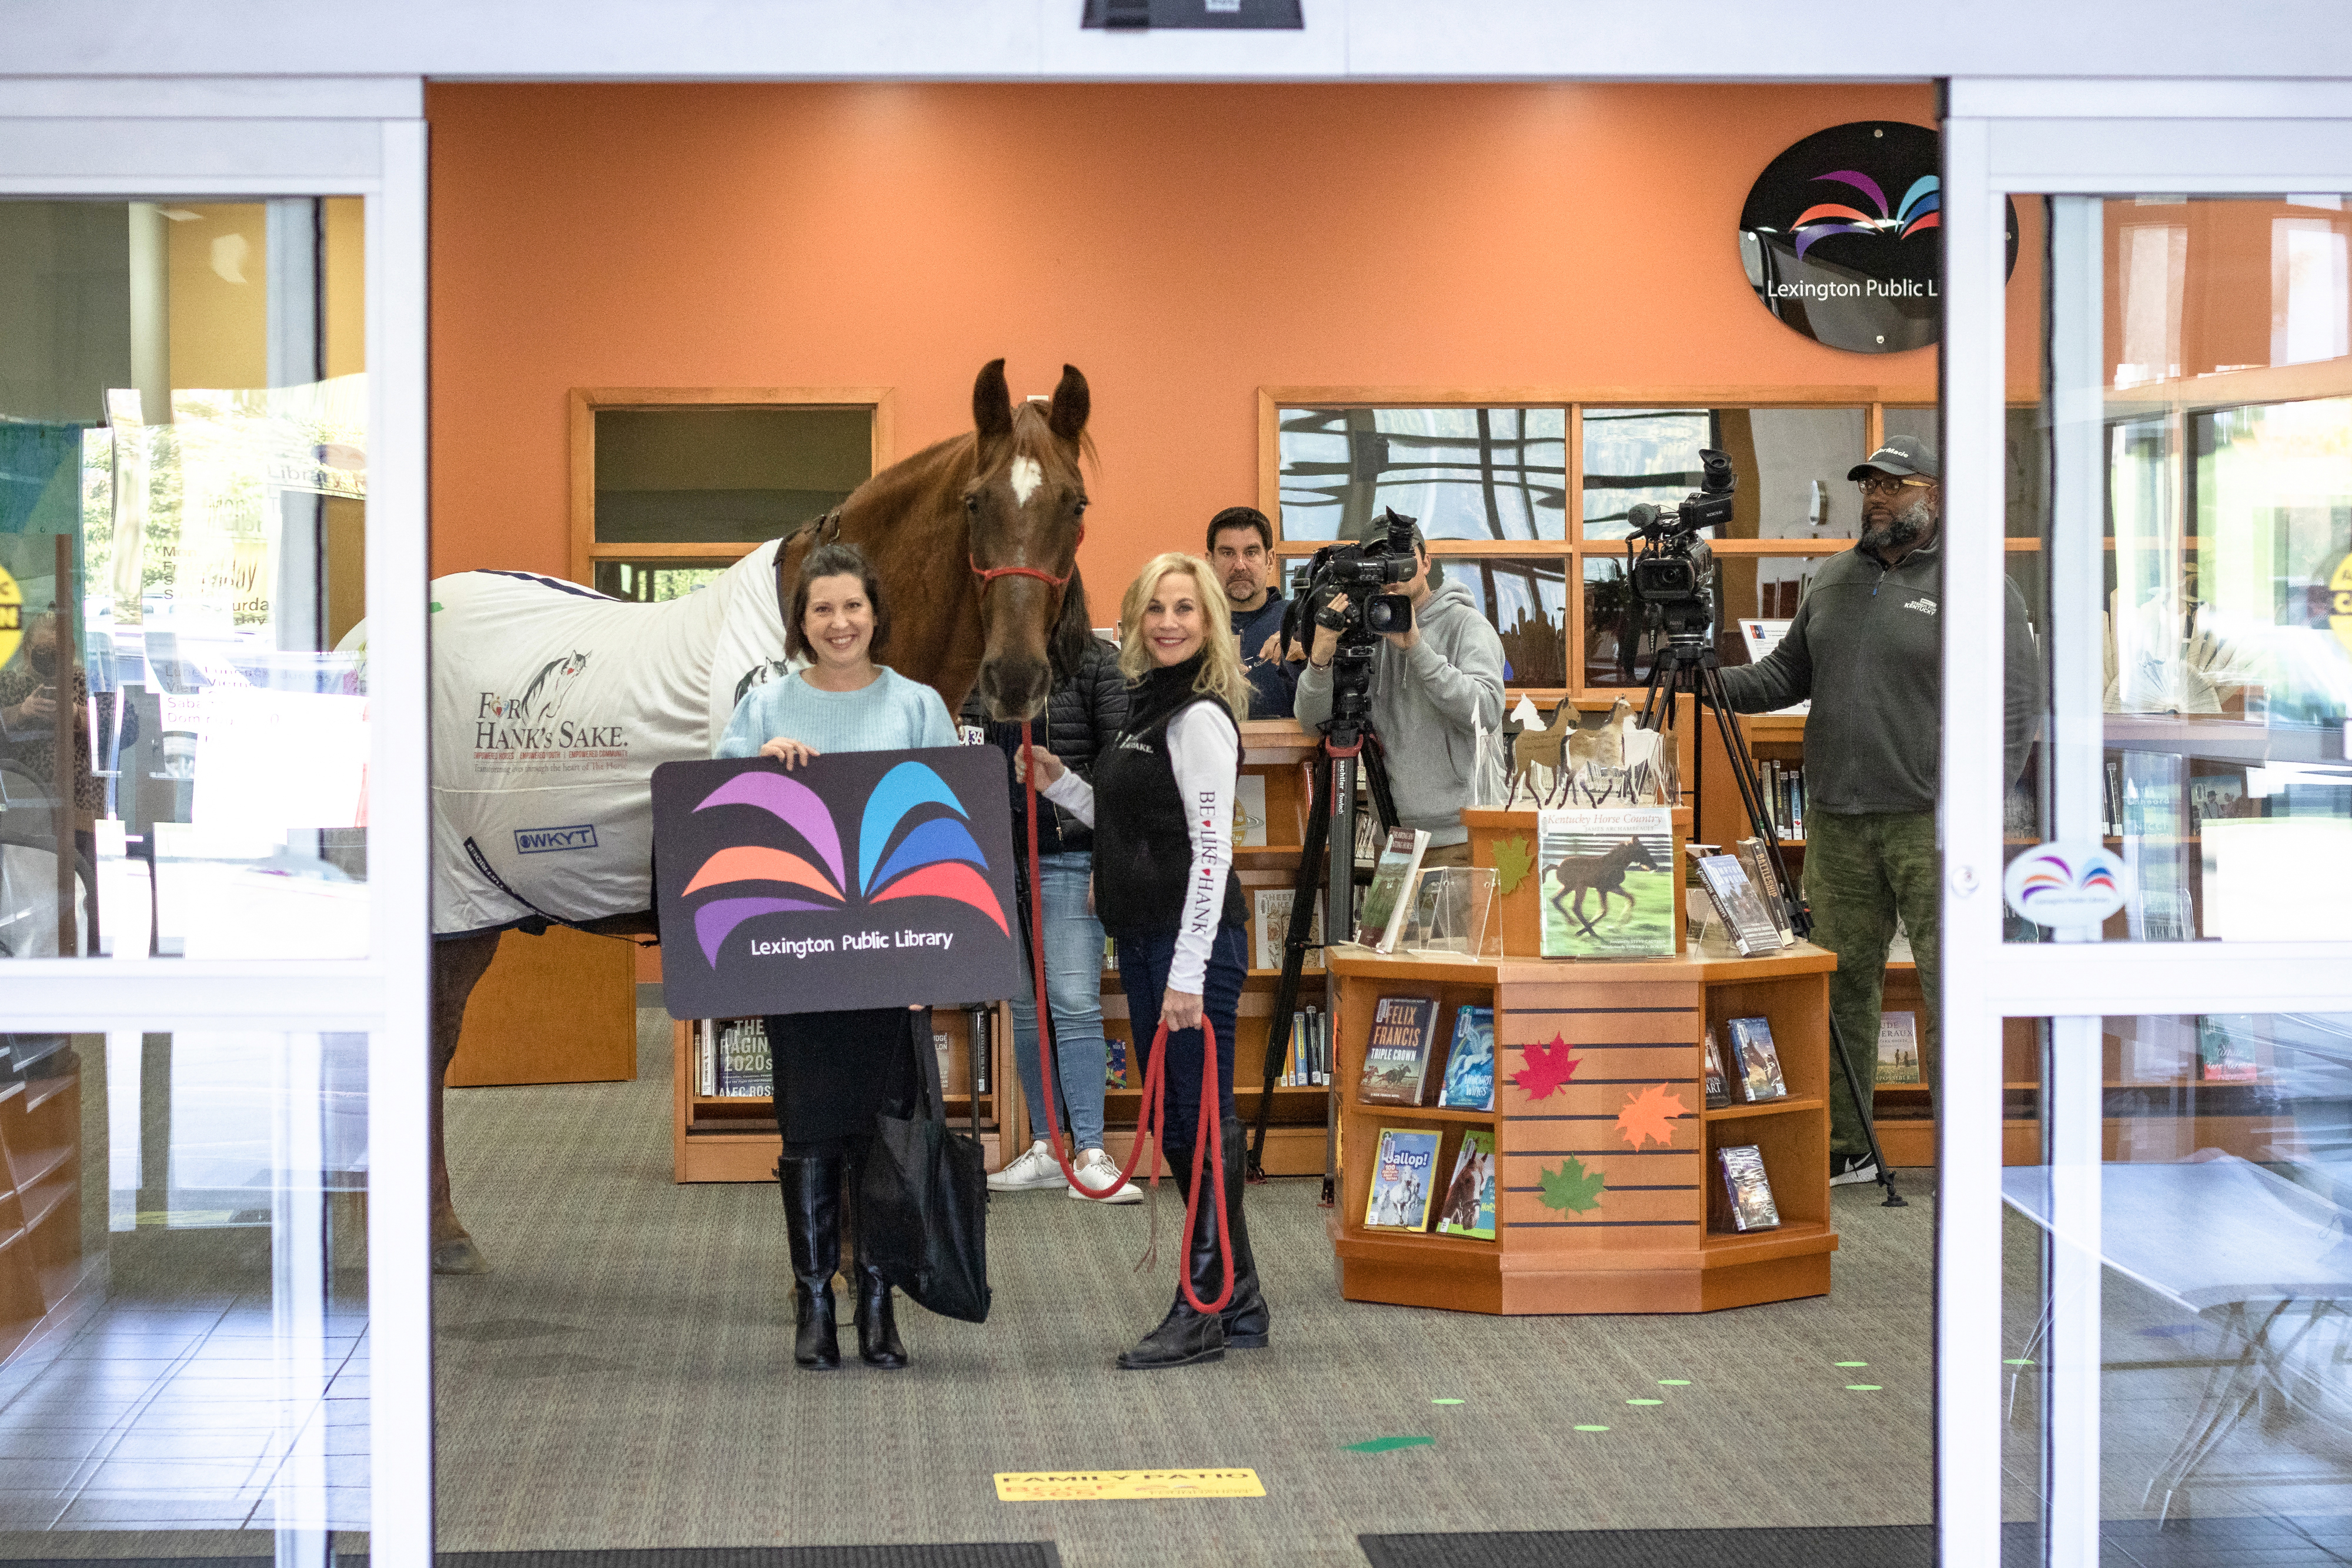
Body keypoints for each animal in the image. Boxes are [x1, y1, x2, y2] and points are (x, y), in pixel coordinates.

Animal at [1543, 841, 1675, 940]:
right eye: (1642, 850)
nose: (1655, 866)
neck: (1615, 864)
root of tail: (1558, 867)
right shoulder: (1602, 889)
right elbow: (1604, 910)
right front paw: (1618, 924)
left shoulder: (1613, 887)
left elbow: (1630, 898)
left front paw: (1621, 924)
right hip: (1579, 887)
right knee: (1575, 907)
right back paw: (1588, 932)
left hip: (1570, 887)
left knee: (1556, 900)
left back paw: (1573, 924)